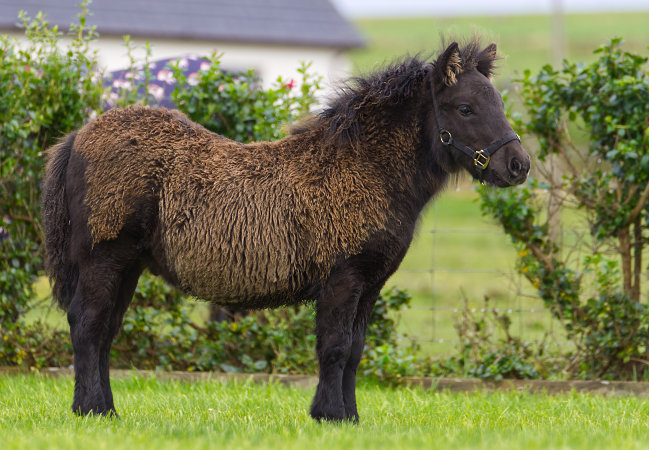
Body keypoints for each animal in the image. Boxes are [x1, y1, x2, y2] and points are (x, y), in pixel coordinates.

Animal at [42, 40, 530, 422]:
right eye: (465, 108)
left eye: (500, 105)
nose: (518, 165)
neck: (364, 168)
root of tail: (79, 135)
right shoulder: (343, 280)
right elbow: (334, 348)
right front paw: (329, 416)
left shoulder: (370, 286)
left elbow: (355, 351)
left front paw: (350, 417)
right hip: (105, 258)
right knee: (88, 325)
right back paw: (91, 410)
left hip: (128, 266)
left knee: (106, 330)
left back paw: (106, 408)